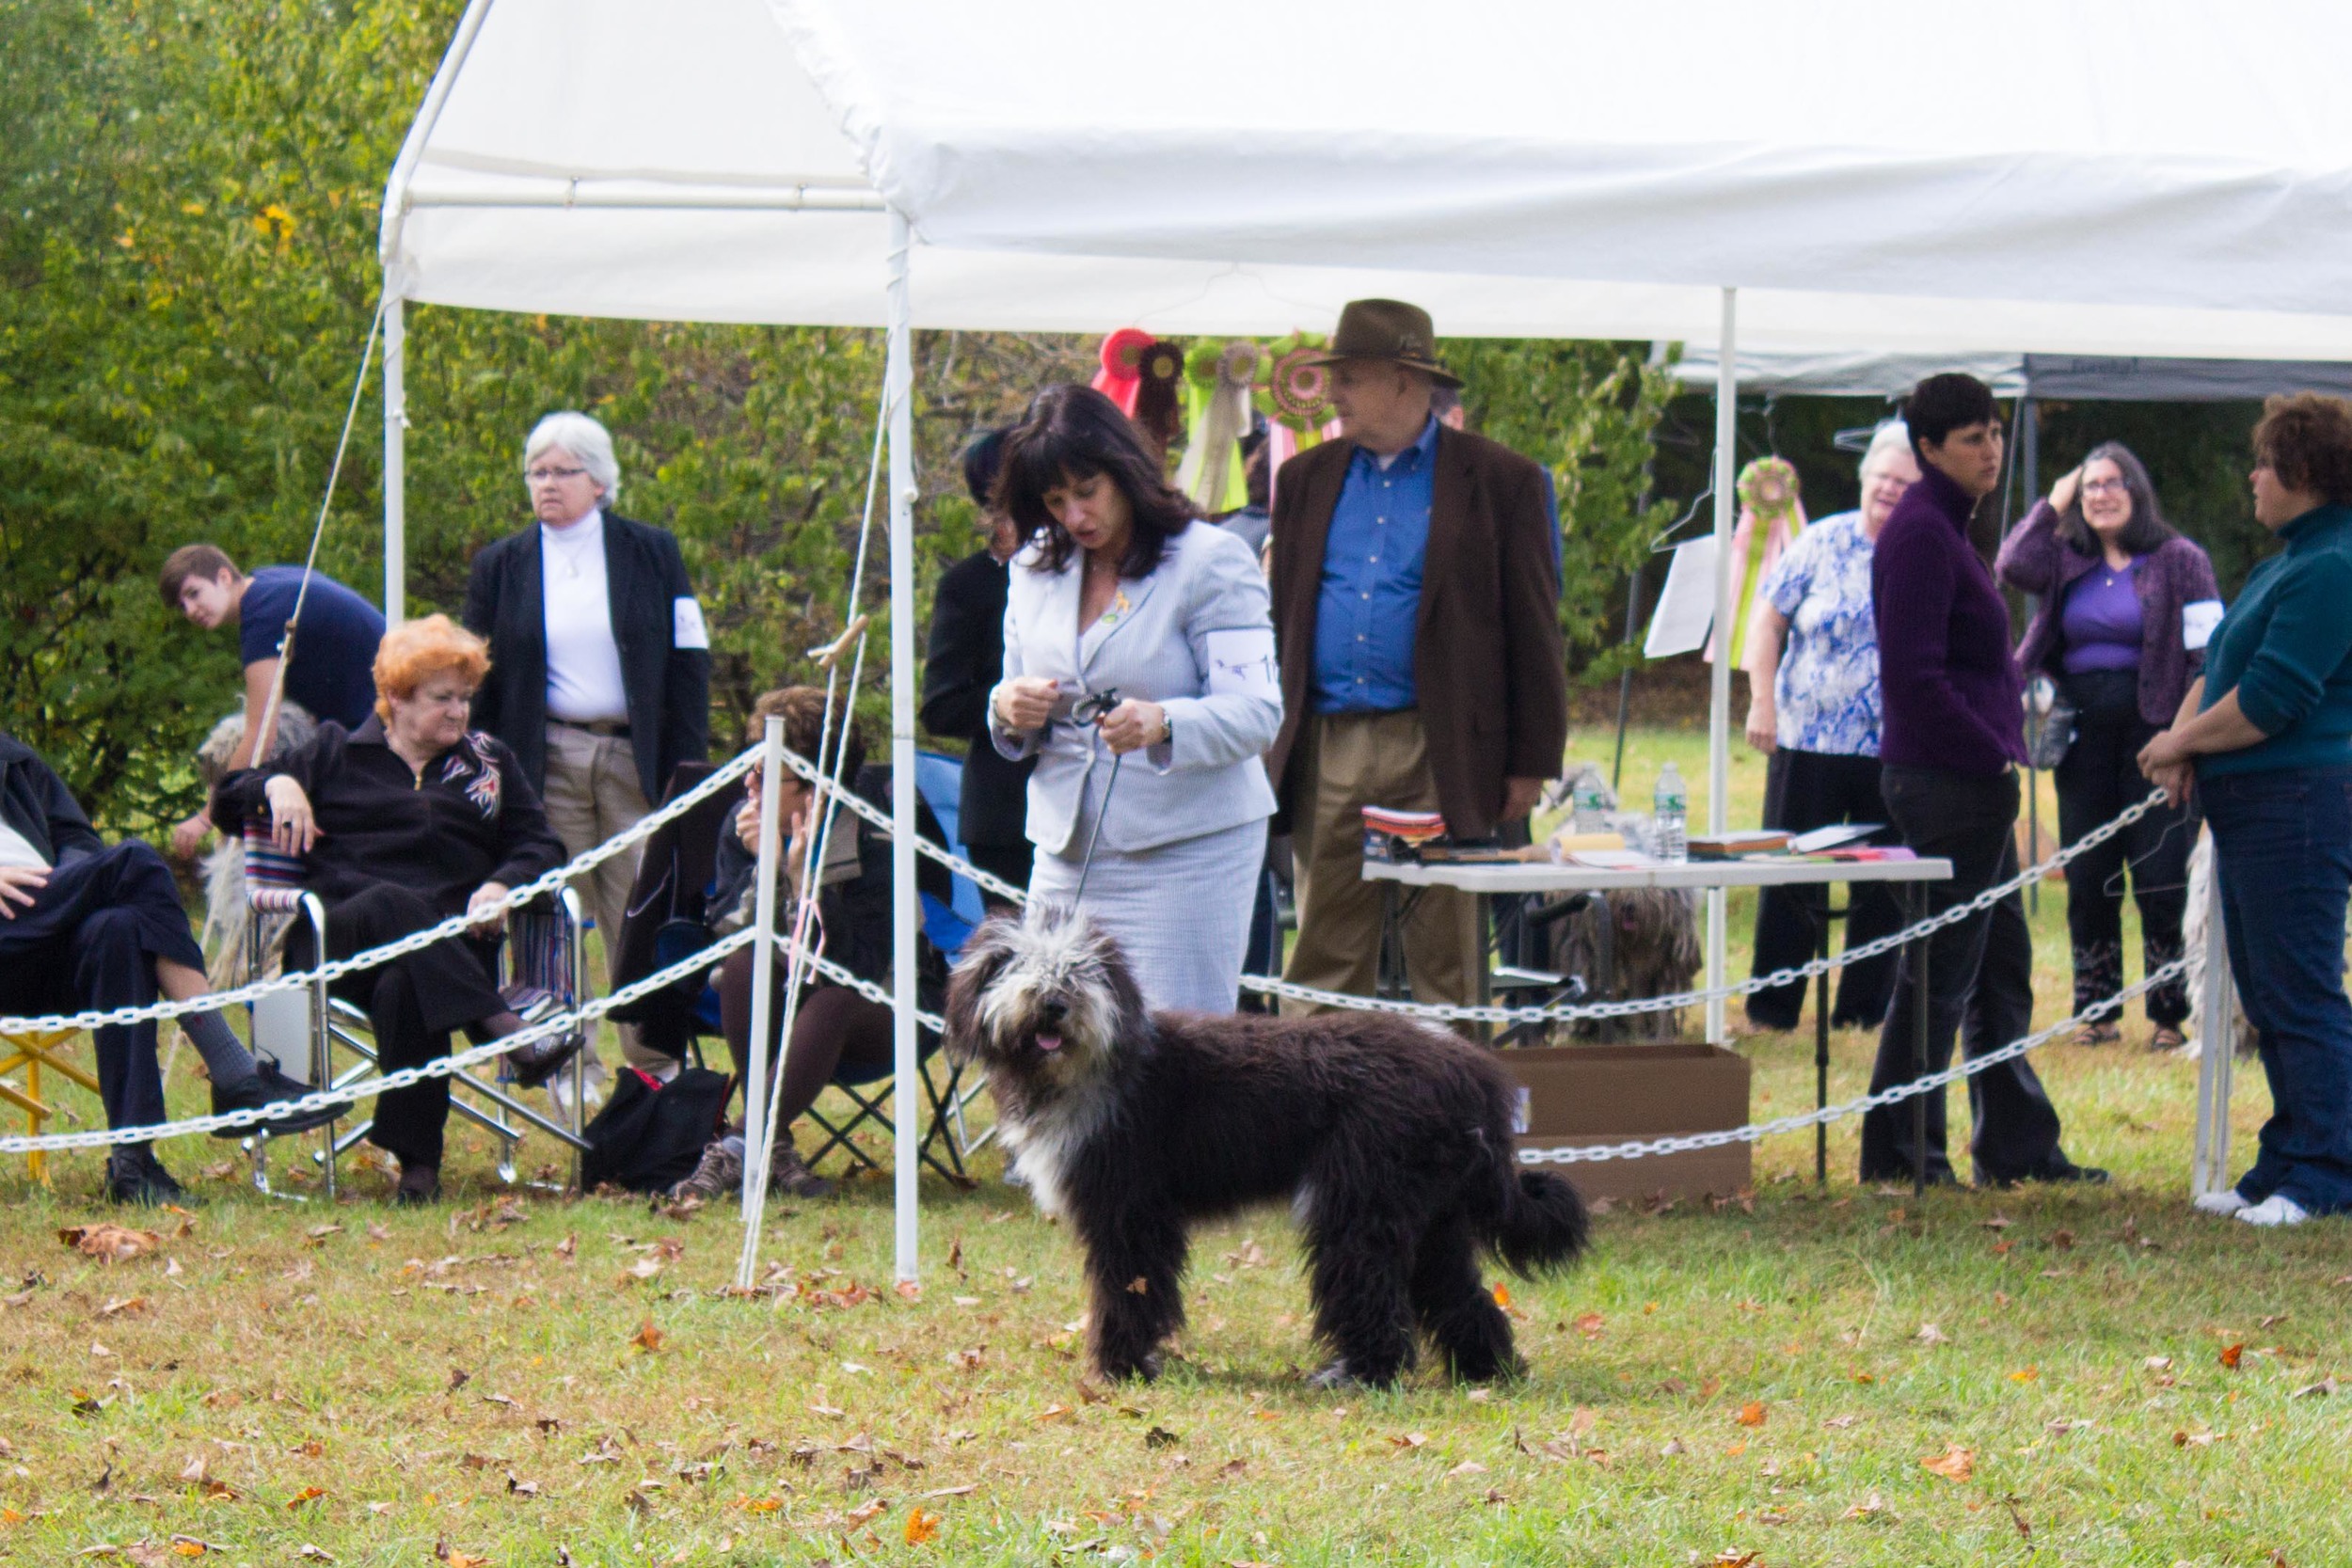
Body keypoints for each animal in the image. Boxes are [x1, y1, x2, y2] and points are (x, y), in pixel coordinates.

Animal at [946, 911, 1590, 1391]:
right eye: (1018, 967)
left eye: (1079, 971)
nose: (1053, 1002)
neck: (1092, 1067)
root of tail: (1469, 1071)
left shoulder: (1129, 1212)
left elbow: (1128, 1289)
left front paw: (1120, 1367)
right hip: (1433, 1213)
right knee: (1457, 1292)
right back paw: (1486, 1370)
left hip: (1363, 1199)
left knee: (1370, 1286)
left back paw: (1360, 1373)